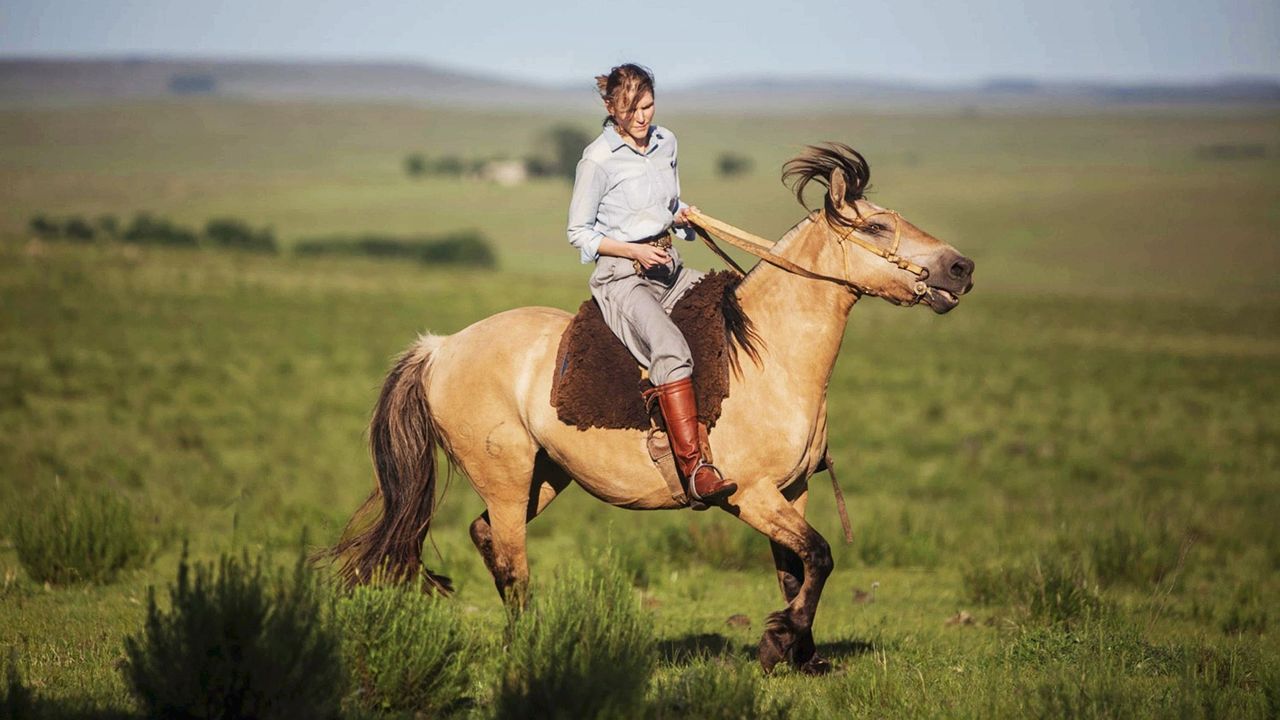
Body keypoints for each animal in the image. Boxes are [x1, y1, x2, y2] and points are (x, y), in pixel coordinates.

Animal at [325, 142, 972, 671]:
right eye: (879, 227)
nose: (961, 267)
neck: (770, 355)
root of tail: (440, 348)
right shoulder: (751, 495)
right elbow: (820, 554)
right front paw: (776, 644)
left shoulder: (793, 491)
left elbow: (798, 569)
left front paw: (801, 654)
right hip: (505, 478)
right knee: (512, 558)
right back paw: (529, 645)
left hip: (545, 476)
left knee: (484, 535)